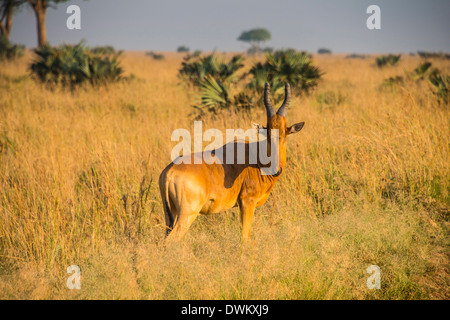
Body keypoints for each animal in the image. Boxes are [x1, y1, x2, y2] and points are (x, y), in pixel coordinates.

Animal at [159, 82, 306, 240]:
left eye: (285, 133)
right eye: (267, 133)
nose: (276, 170)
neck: (255, 157)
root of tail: (170, 172)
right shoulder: (247, 202)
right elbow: (245, 236)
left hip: (170, 214)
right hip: (187, 214)